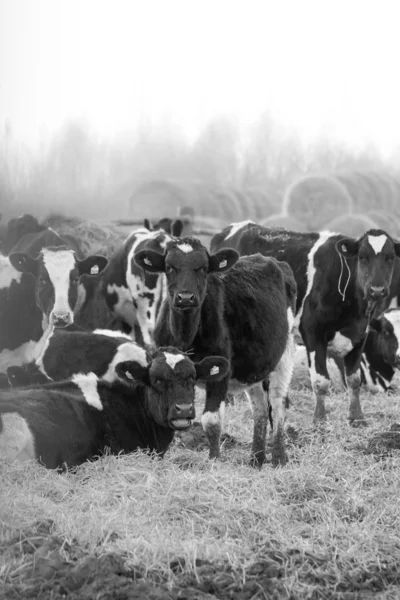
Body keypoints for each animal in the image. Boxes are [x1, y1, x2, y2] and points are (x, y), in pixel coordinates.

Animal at [134, 237, 296, 466]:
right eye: (169, 267)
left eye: (203, 268)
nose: (185, 297)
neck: (186, 336)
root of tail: (270, 259)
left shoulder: (220, 372)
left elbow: (211, 419)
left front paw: (214, 460)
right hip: (254, 367)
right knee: (260, 408)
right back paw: (256, 459)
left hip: (285, 355)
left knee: (278, 402)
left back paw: (279, 459)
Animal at [209, 223, 400, 424]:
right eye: (362, 257)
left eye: (390, 258)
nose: (377, 290)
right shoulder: (314, 333)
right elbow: (320, 381)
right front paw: (319, 420)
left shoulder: (359, 335)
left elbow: (354, 380)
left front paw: (357, 418)